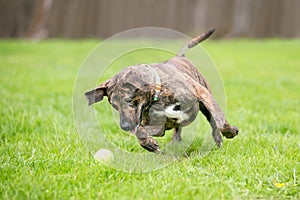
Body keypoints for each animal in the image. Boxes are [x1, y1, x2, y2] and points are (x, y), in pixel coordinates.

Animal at [85, 28, 239, 152]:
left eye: (129, 101)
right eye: (114, 106)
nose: (124, 126)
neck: (159, 95)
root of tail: (180, 57)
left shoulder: (202, 93)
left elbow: (220, 121)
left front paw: (230, 131)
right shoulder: (157, 126)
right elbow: (140, 131)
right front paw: (149, 144)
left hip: (204, 102)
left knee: (213, 122)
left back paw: (218, 139)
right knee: (178, 129)